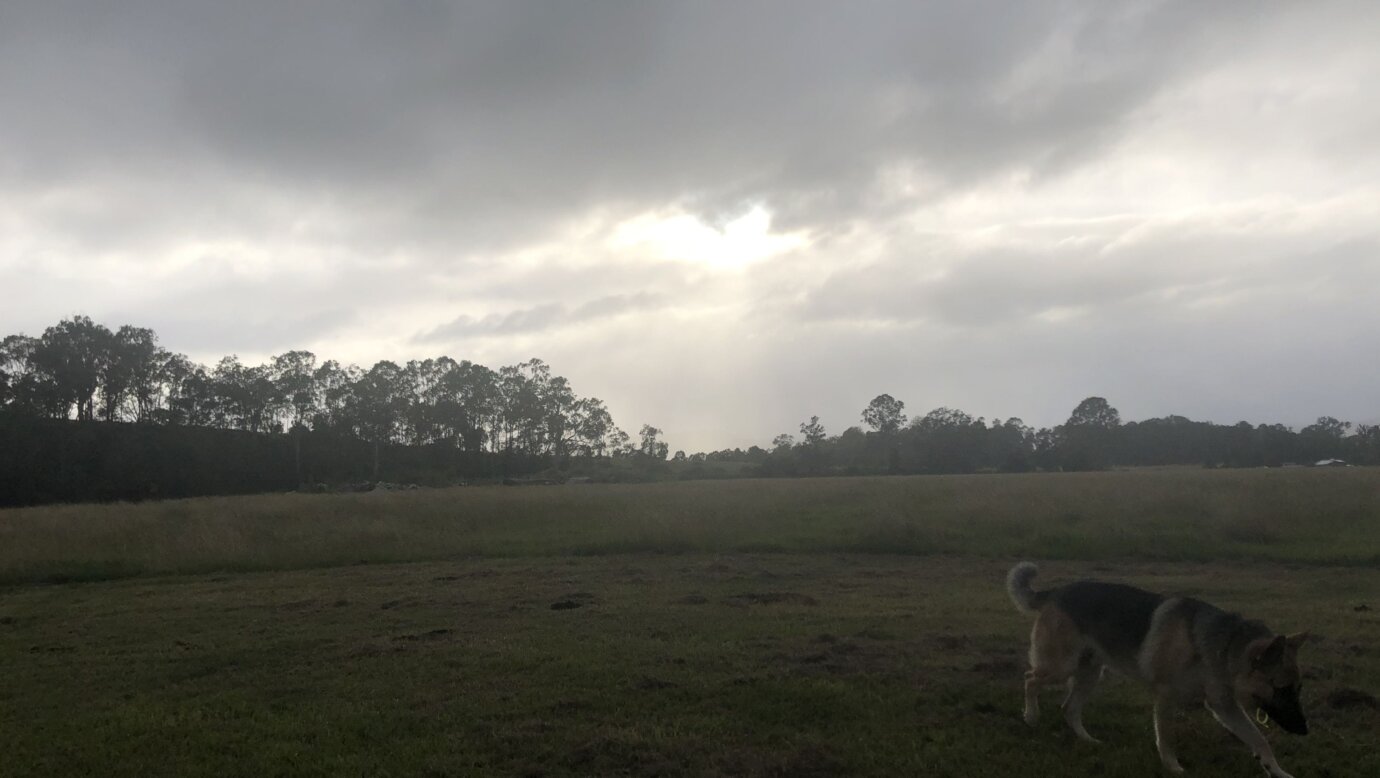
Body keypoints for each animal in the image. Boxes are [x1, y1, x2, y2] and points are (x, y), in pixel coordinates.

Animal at [1010, 562, 1308, 772]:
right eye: (1282, 689)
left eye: (1298, 689)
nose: (1304, 731)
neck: (1224, 646)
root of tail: (1056, 592)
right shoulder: (1167, 696)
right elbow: (1166, 737)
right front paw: (1173, 767)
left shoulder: (1224, 706)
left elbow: (1260, 740)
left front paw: (1277, 771)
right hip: (1062, 665)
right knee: (1030, 678)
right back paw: (1031, 716)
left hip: (1090, 674)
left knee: (1068, 708)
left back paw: (1087, 740)